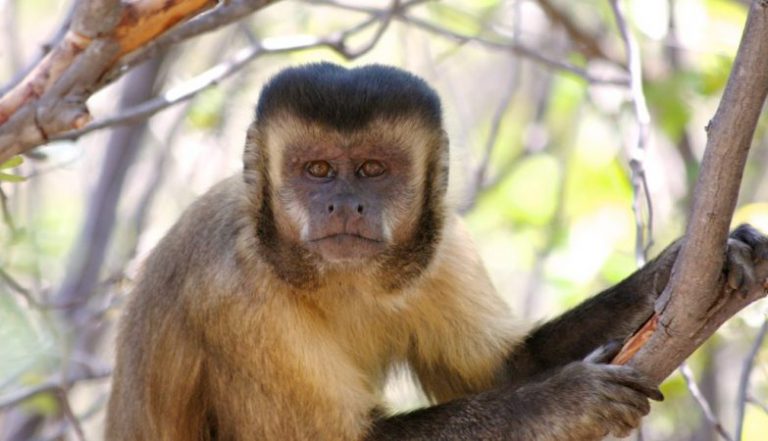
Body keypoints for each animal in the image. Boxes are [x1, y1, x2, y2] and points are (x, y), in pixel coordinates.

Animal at [105, 62, 768, 441]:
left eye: (373, 170)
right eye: (316, 170)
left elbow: (506, 369)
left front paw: (681, 266)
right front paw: (565, 402)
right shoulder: (232, 292)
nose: (343, 204)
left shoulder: (444, 247)